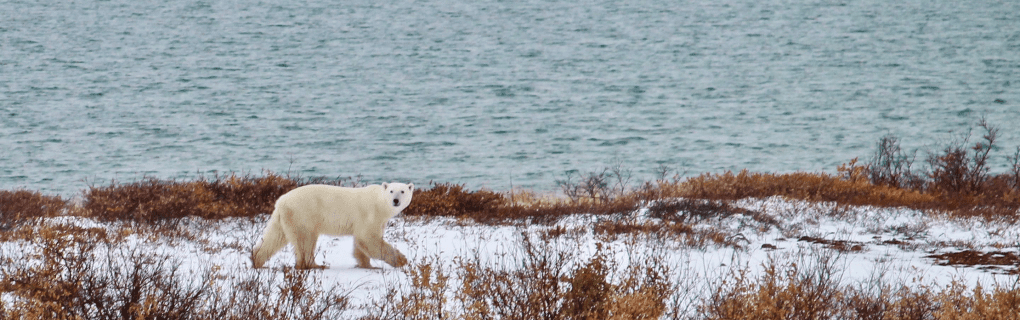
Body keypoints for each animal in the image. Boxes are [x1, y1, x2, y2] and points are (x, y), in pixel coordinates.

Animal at [248, 182, 412, 269]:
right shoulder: (370, 214)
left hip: (284, 218)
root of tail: (280, 201)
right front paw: (402, 260)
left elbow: (361, 244)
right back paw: (314, 265)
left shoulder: (378, 220)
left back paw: (257, 259)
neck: (379, 203)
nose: (395, 200)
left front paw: (366, 265)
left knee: (275, 237)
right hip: (303, 214)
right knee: (306, 240)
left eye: (402, 191)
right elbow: (368, 239)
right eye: (391, 191)